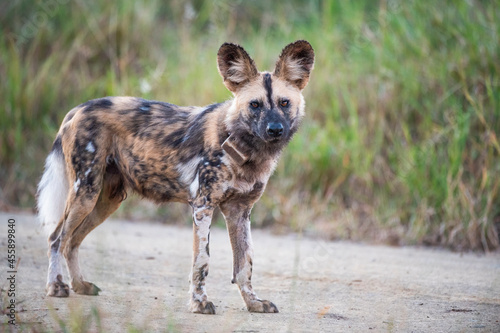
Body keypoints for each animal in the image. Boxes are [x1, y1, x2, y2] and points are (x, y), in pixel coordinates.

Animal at [38, 40, 312, 312]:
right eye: (255, 104)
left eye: (284, 103)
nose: (275, 129)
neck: (245, 148)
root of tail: (77, 109)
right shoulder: (203, 206)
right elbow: (202, 261)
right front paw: (199, 302)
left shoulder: (239, 212)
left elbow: (244, 264)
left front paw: (253, 303)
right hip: (85, 192)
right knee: (56, 238)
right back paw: (56, 286)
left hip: (105, 201)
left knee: (72, 241)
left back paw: (80, 285)